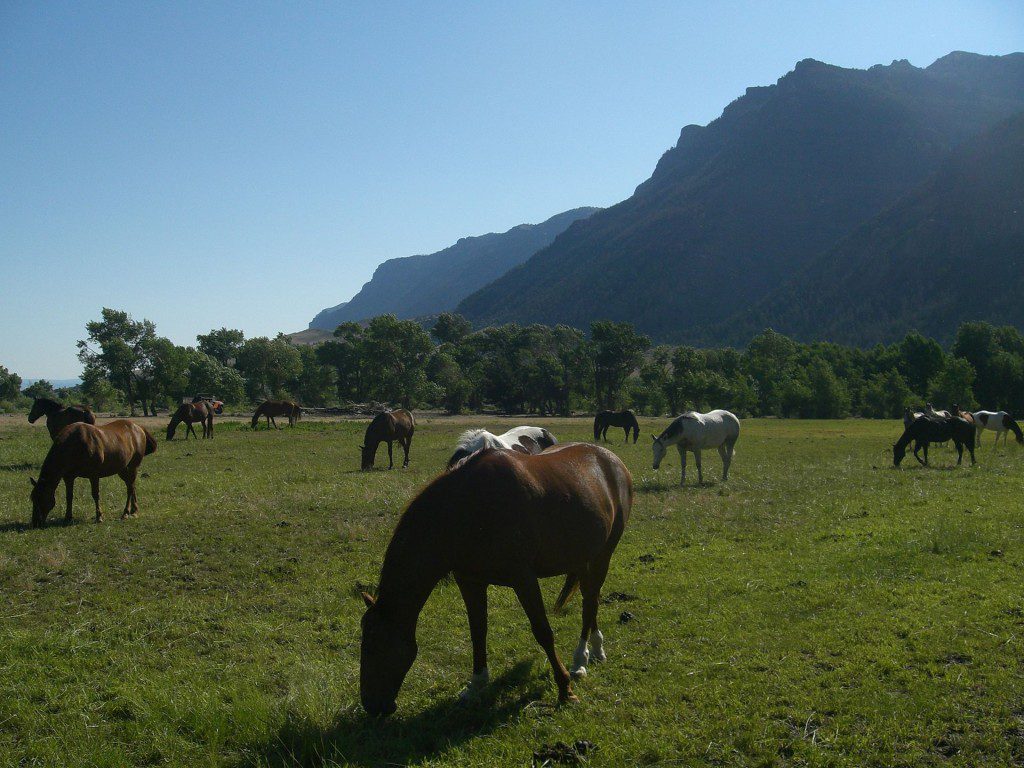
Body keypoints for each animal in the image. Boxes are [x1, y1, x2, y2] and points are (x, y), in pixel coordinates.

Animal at [360, 442, 630, 720]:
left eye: (374, 645)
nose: (371, 705)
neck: (468, 510)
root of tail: (610, 459)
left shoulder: (523, 579)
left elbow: (543, 632)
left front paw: (565, 689)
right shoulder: (470, 581)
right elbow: (478, 631)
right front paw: (476, 684)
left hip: (603, 554)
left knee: (590, 601)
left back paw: (580, 660)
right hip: (584, 556)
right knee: (590, 599)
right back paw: (593, 651)